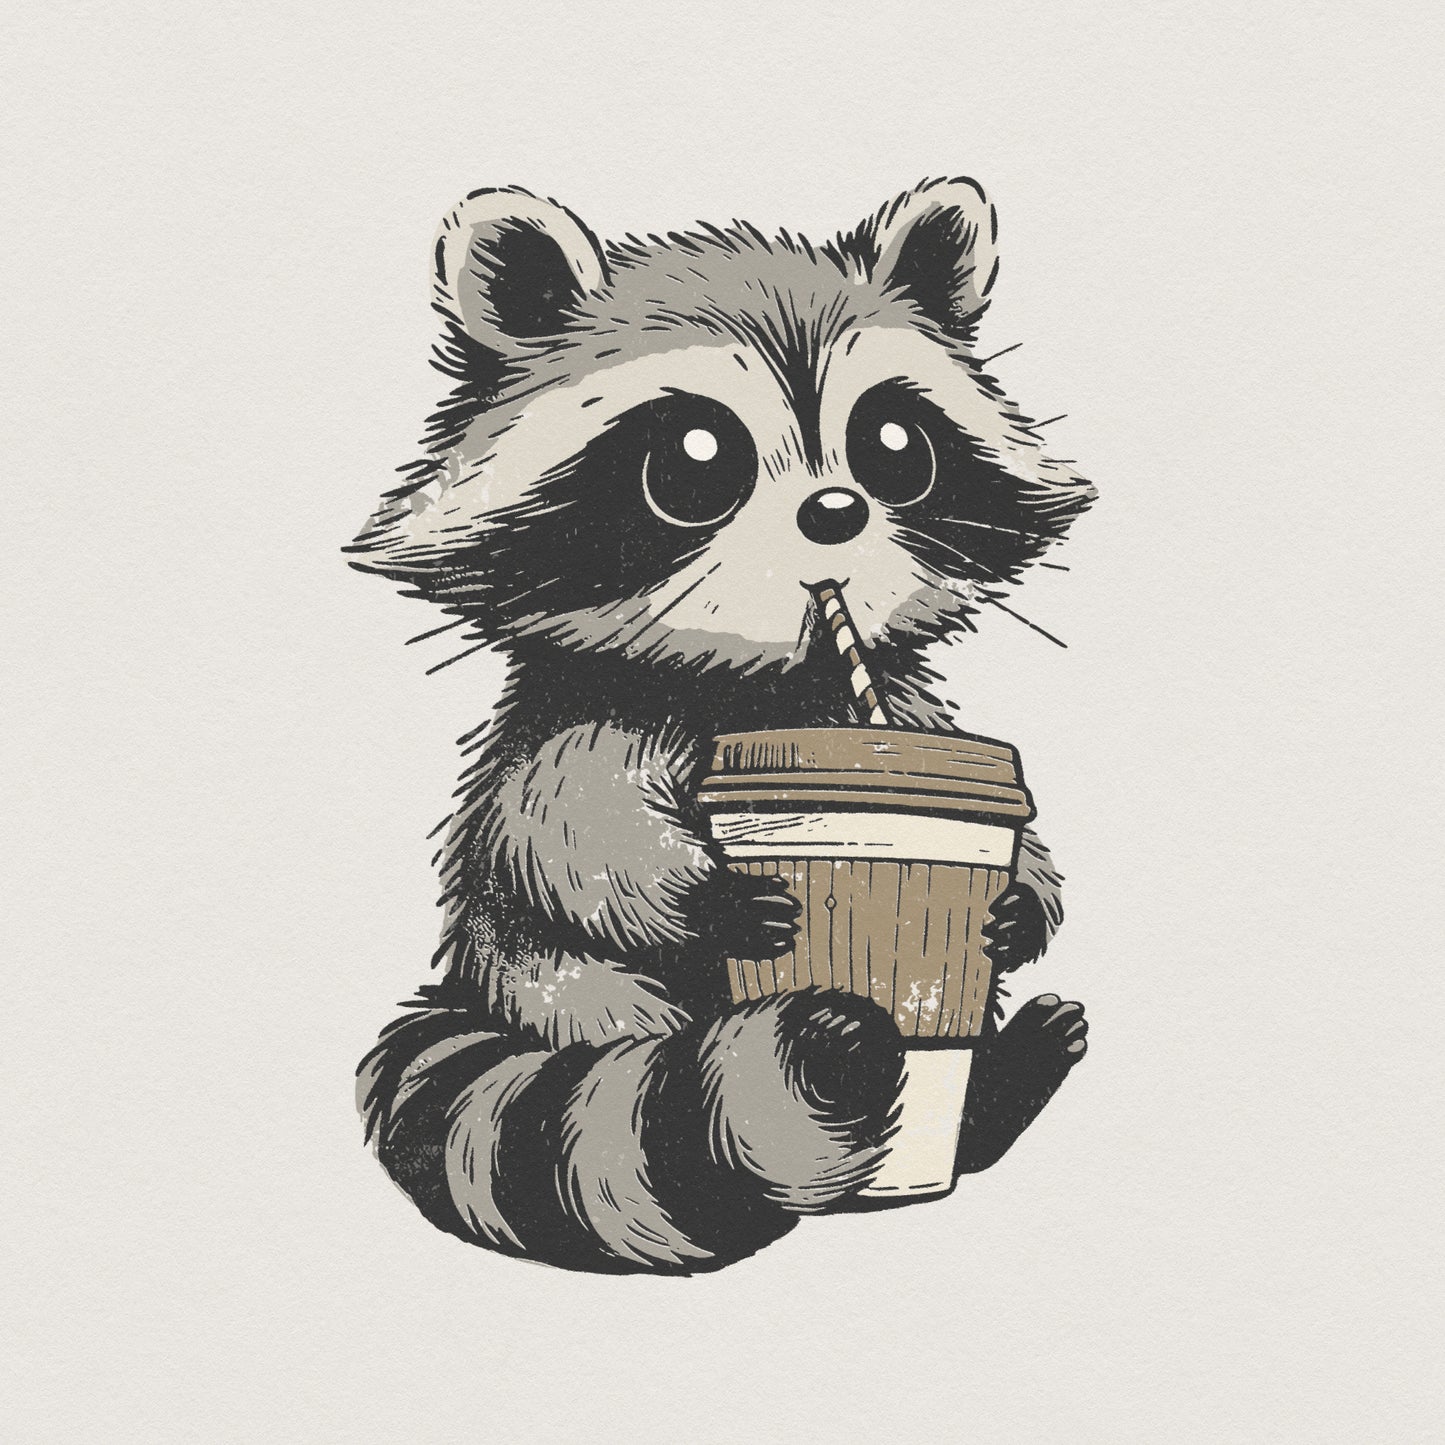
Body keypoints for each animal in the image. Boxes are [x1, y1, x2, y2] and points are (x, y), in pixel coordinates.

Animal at [347, 178, 1094, 1273]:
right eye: (694, 461)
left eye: (894, 449)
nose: (834, 513)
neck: (764, 680)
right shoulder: (587, 724)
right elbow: (567, 838)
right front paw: (706, 895)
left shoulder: (888, 704)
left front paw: (1020, 898)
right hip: (560, 987)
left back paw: (994, 1088)